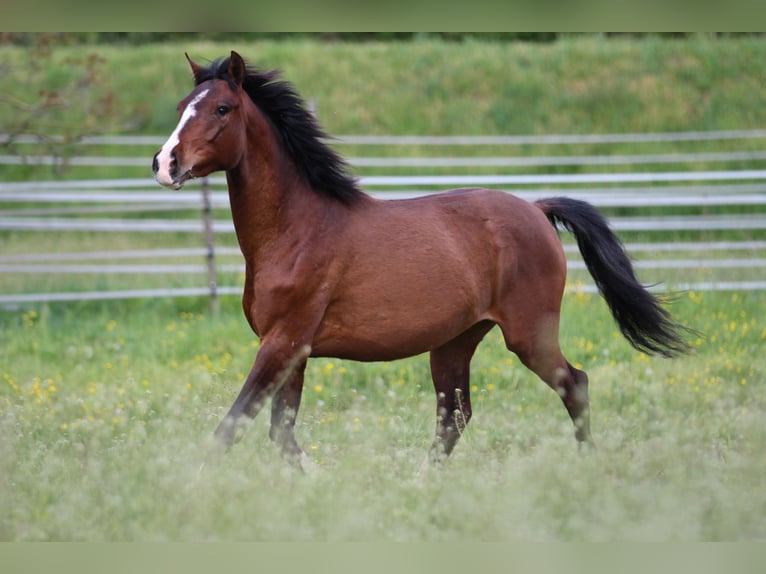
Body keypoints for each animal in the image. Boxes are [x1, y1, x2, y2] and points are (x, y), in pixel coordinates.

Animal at [153, 51, 689, 471]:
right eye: (180, 108)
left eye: (222, 108)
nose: (164, 164)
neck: (297, 229)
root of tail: (536, 210)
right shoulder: (293, 351)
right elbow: (279, 433)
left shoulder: (283, 343)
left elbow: (232, 427)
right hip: (455, 341)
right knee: (455, 416)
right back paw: (420, 483)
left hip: (528, 334)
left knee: (573, 384)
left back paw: (588, 467)